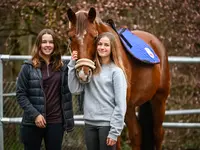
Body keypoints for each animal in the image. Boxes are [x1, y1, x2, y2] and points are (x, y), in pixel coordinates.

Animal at [67, 7, 170, 150]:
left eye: (95, 37)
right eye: (70, 37)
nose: (83, 73)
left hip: (159, 100)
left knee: (158, 133)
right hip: (130, 107)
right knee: (136, 134)